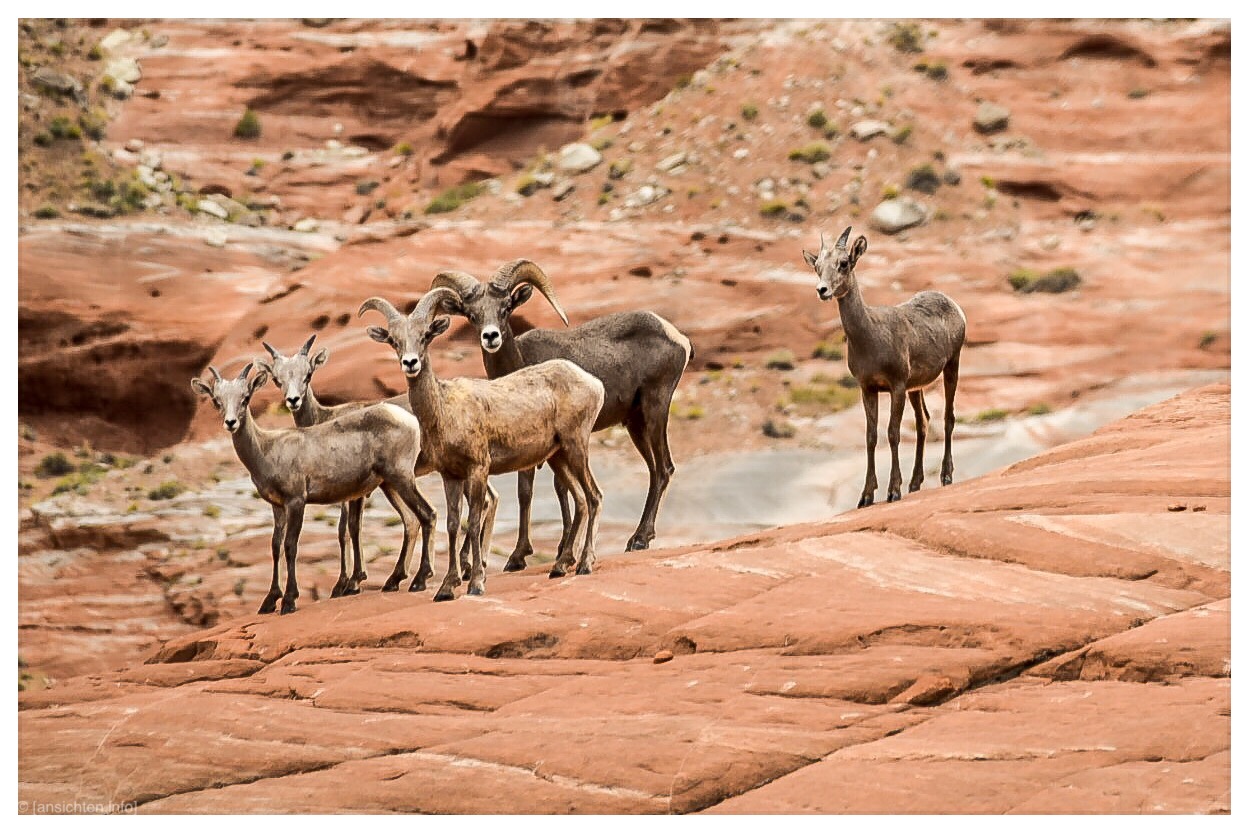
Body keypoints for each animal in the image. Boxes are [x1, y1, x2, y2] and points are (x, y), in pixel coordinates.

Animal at [189, 361, 434, 611]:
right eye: (217, 400)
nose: (231, 423)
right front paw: (269, 601)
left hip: (401, 478)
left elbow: (291, 545)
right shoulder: (277, 506)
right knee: (412, 520)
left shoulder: (296, 501)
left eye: (245, 397)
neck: (267, 449)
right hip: (390, 484)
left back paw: (419, 581)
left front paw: (289, 600)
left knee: (428, 514)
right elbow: (276, 545)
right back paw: (394, 581)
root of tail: (408, 420)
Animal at [359, 289, 606, 601]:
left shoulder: (477, 469)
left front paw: (476, 583)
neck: (445, 410)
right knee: (581, 500)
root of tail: (593, 383)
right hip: (557, 457)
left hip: (576, 447)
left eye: (426, 335)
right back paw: (559, 567)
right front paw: (446, 588)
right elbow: (454, 525)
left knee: (594, 496)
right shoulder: (451, 476)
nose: (411, 363)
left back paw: (585, 564)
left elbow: (474, 521)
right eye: (394, 341)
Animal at [431, 258, 693, 566]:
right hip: (634, 424)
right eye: (472, 315)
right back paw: (641, 538)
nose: (491, 336)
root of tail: (678, 338)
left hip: (655, 408)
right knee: (654, 470)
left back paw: (638, 540)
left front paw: (551, 553)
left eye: (506, 307)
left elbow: (555, 488)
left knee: (664, 468)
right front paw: (535, 554)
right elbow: (530, 491)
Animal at [803, 224, 968, 503]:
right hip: (916, 388)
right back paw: (915, 483)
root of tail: (955, 307)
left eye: (844, 263)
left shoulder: (896, 385)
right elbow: (871, 436)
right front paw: (866, 497)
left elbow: (893, 433)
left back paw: (946, 476)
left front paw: (893, 491)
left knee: (948, 416)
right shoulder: (868, 388)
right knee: (923, 421)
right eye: (817, 266)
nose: (822, 290)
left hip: (951, 365)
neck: (872, 336)